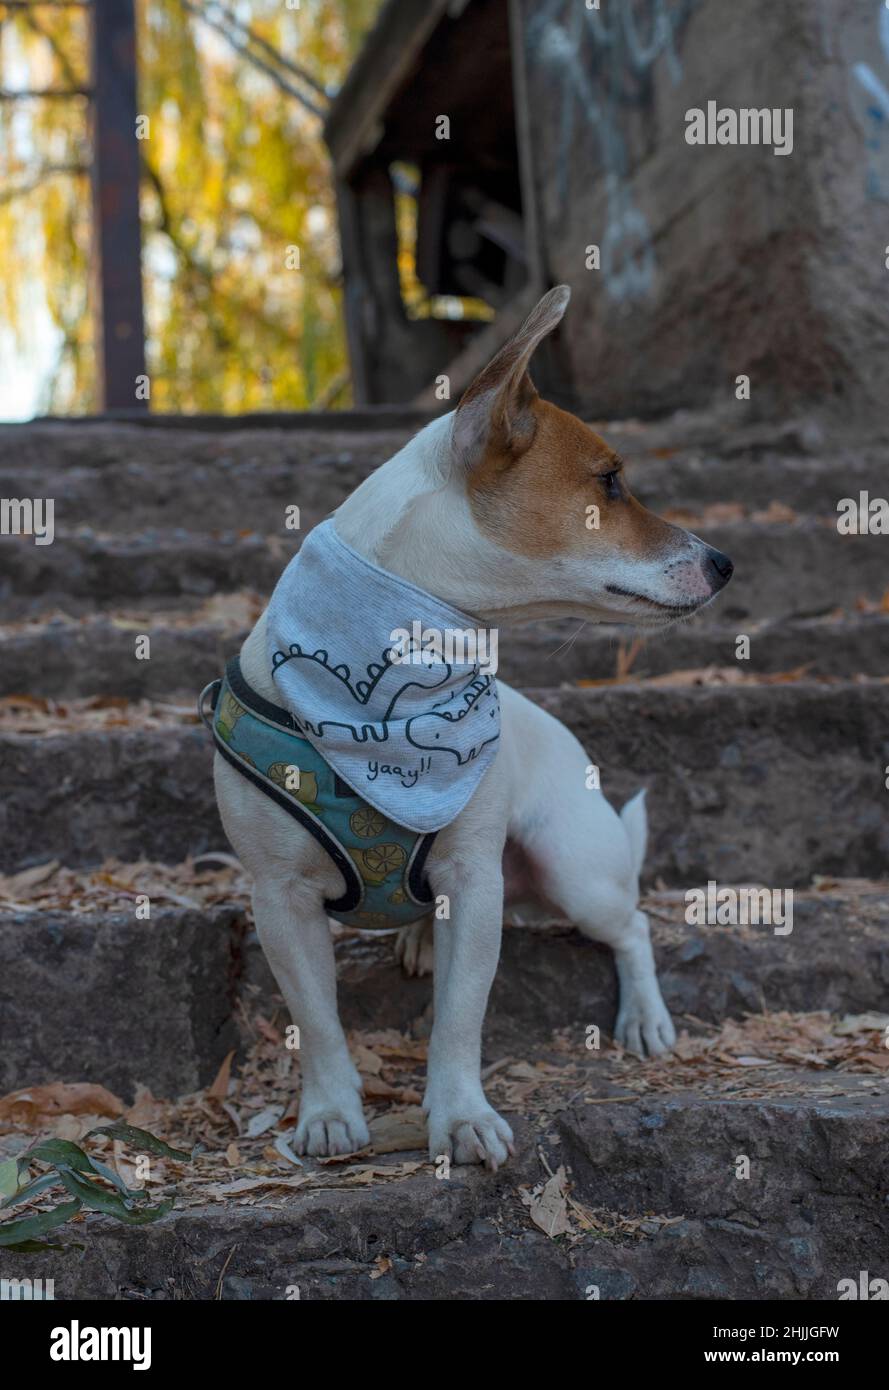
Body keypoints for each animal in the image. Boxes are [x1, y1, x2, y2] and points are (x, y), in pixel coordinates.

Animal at [211, 287, 733, 1167]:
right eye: (610, 482)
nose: (725, 563)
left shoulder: (476, 882)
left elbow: (460, 1018)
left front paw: (459, 1117)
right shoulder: (278, 900)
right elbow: (316, 1021)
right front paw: (329, 1113)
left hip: (572, 868)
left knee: (630, 927)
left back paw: (644, 1017)